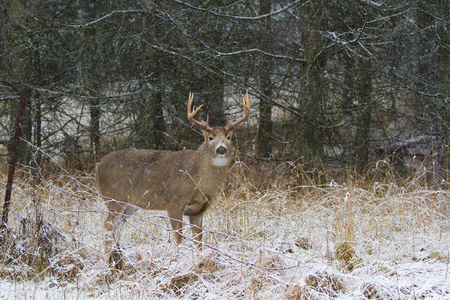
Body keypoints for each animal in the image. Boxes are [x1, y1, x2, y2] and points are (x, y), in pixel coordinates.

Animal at [96, 91, 250, 268]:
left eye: (229, 137)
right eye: (210, 138)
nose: (221, 149)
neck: (197, 180)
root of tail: (98, 166)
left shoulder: (199, 209)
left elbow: (199, 240)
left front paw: (200, 262)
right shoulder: (174, 202)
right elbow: (178, 237)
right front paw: (173, 264)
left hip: (129, 205)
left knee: (116, 227)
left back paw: (117, 259)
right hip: (114, 198)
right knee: (107, 226)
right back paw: (107, 262)